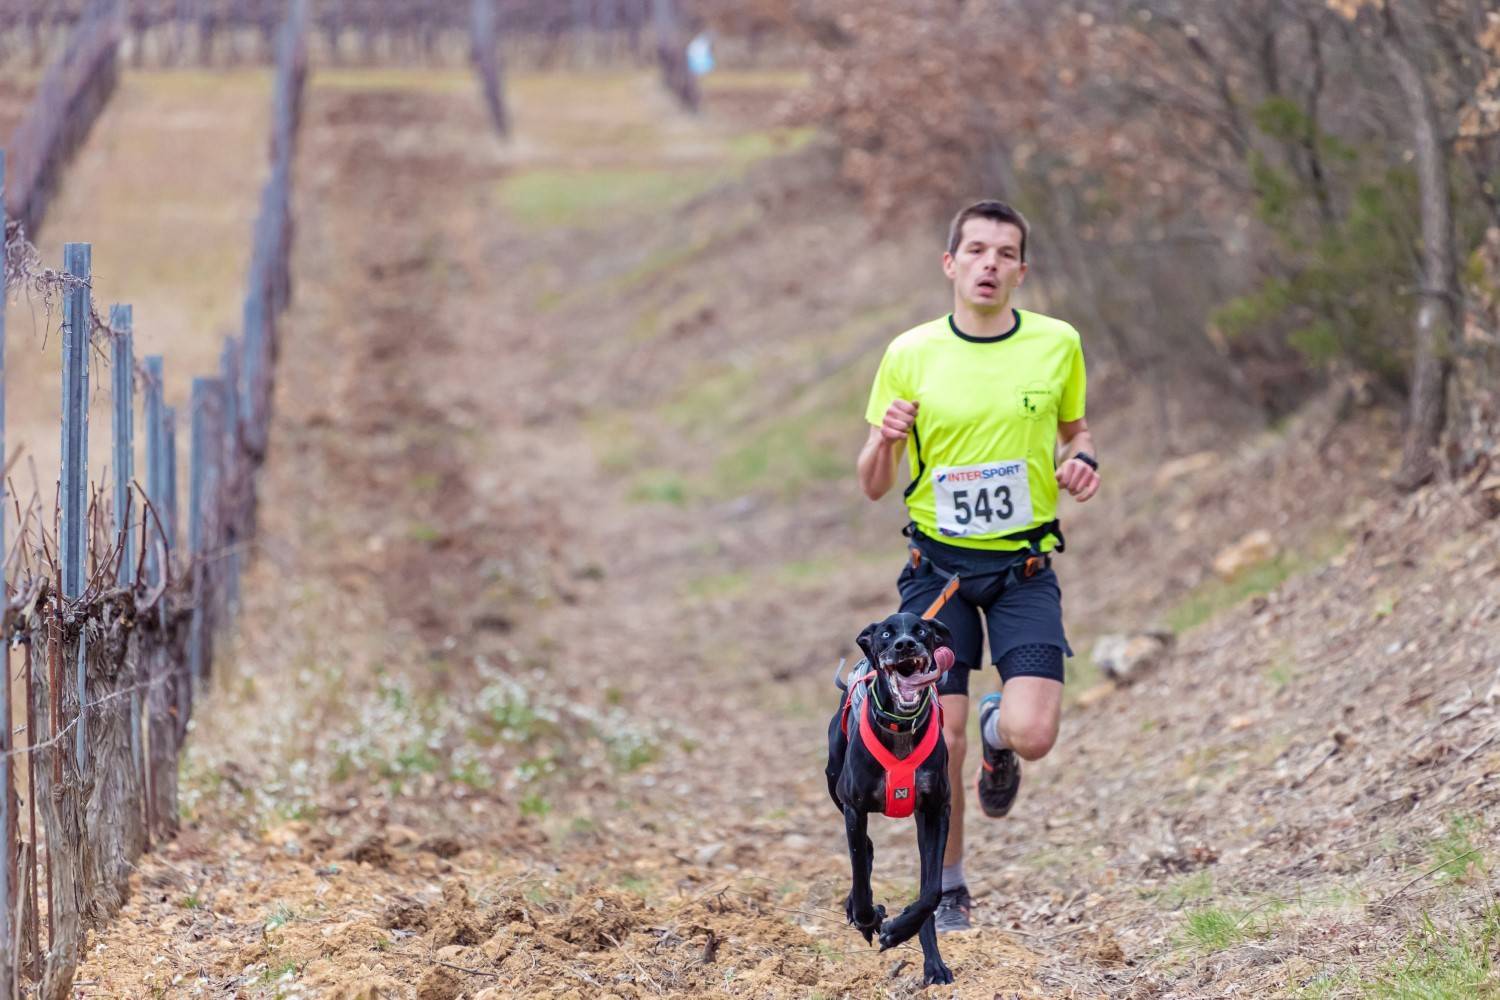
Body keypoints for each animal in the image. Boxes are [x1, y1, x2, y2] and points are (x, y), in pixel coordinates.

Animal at [825, 611, 955, 986]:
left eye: (922, 631)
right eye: (885, 633)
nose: (905, 645)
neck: (901, 726)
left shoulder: (937, 810)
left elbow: (931, 891)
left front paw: (898, 931)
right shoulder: (854, 807)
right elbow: (859, 872)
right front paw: (867, 917)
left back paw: (933, 964)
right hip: (834, 785)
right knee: (865, 852)